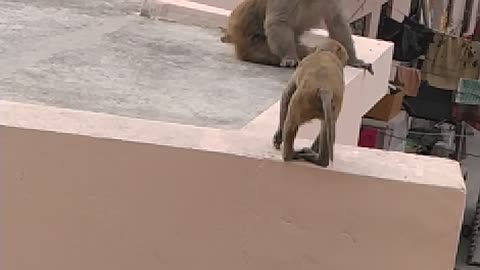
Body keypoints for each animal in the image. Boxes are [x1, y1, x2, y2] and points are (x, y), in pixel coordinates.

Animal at [272, 38, 346, 168]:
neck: (326, 52)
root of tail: (324, 89)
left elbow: (286, 95)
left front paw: (278, 138)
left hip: (301, 101)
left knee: (291, 122)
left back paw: (290, 155)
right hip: (330, 104)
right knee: (327, 128)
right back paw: (318, 159)